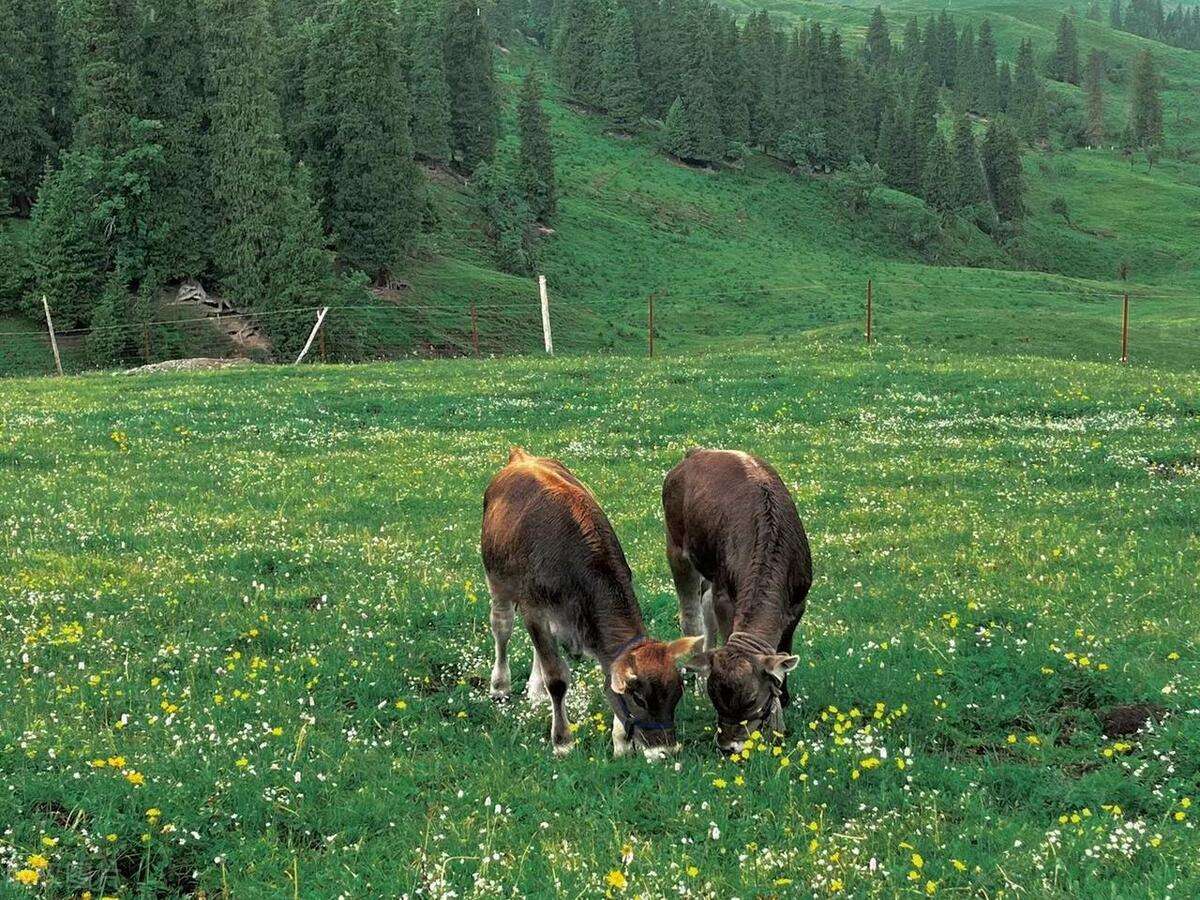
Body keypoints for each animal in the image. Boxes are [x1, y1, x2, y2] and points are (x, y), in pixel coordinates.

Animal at [480, 451, 700, 763]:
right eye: (639, 697)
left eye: (677, 693)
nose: (665, 751)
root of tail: (521, 457)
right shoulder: (534, 609)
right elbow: (557, 678)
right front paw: (562, 741)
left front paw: (620, 743)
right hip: (498, 581)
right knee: (502, 628)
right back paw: (500, 687)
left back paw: (535, 692)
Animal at [657, 448, 816, 753]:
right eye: (716, 699)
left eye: (752, 700)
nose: (728, 746)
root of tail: (695, 452)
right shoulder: (725, 596)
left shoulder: (798, 603)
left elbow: (783, 651)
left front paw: (782, 705)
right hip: (676, 547)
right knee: (691, 615)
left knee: (704, 604)